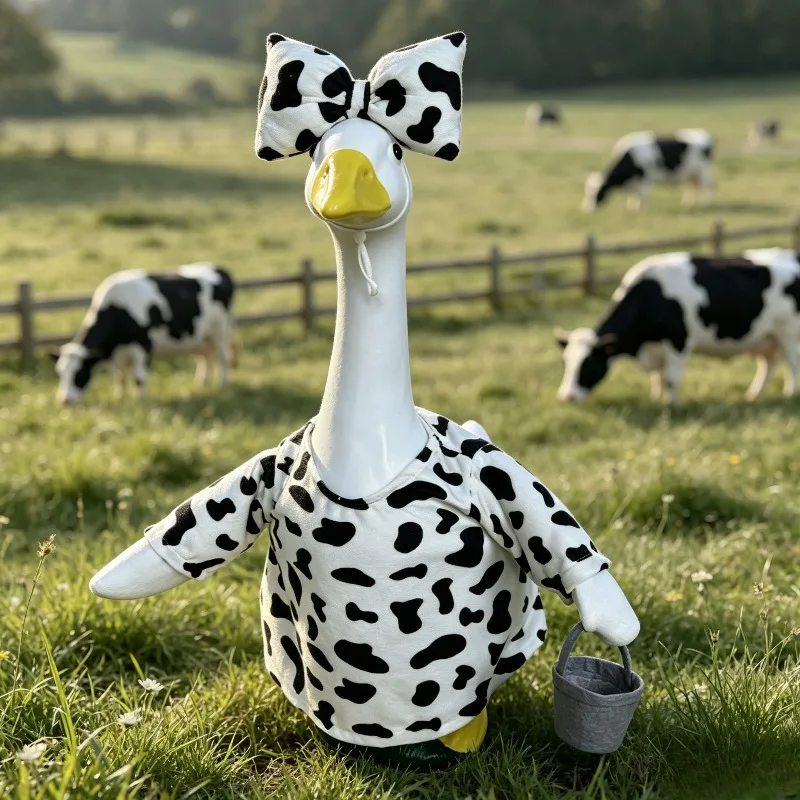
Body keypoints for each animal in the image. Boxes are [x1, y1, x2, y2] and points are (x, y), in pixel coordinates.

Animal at [52, 264, 236, 405]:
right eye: (60, 373)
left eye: (79, 374)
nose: (64, 400)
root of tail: (217, 268)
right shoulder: (117, 354)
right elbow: (120, 376)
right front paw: (121, 398)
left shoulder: (144, 346)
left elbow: (139, 378)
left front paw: (141, 401)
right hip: (202, 336)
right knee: (205, 357)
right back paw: (202, 383)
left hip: (220, 331)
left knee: (223, 357)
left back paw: (223, 384)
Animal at [555, 248, 800, 405]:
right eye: (566, 363)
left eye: (588, 364)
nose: (566, 397)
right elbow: (658, 376)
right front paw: (656, 398)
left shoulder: (678, 342)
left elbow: (671, 379)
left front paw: (671, 406)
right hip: (767, 338)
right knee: (768, 364)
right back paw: (754, 395)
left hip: (790, 335)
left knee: (793, 364)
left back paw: (791, 394)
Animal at [583, 129, 714, 212]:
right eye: (588, 191)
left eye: (598, 192)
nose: (588, 209)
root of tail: (703, 133)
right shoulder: (635, 182)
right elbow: (634, 195)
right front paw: (632, 207)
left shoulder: (645, 179)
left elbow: (643, 196)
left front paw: (642, 210)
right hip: (690, 175)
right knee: (691, 189)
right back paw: (688, 204)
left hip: (704, 172)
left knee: (708, 188)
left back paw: (707, 204)